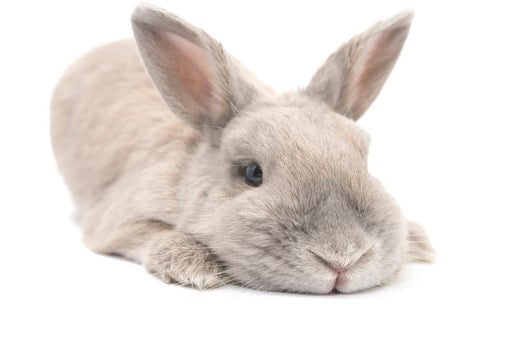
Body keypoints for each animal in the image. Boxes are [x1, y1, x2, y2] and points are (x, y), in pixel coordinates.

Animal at [51, 4, 434, 294]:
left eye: (366, 162)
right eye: (252, 173)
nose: (343, 259)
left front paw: (419, 241)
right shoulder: (116, 221)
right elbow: (152, 233)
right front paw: (192, 266)